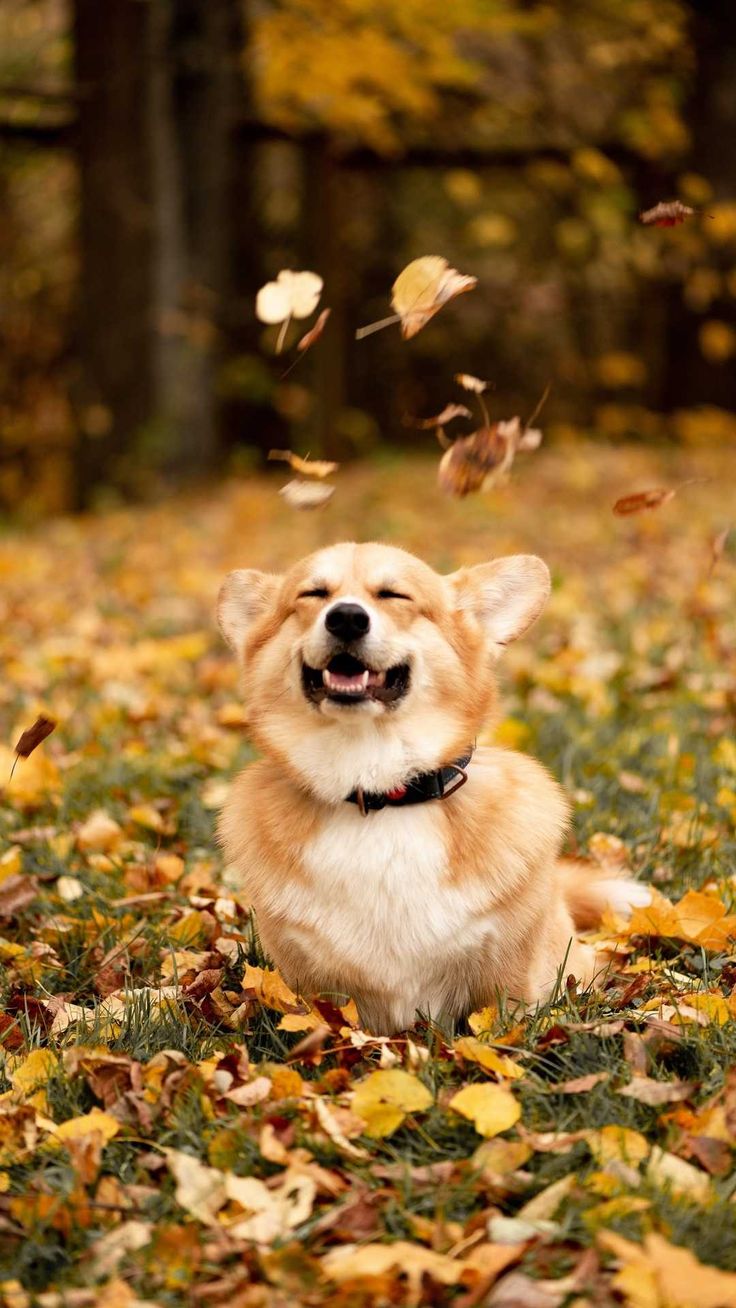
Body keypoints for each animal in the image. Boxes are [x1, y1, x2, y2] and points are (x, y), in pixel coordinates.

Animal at [218, 538, 651, 1030]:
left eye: (394, 595)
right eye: (313, 594)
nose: (345, 617)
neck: (379, 789)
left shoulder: (508, 979)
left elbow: (500, 1026)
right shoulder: (310, 983)